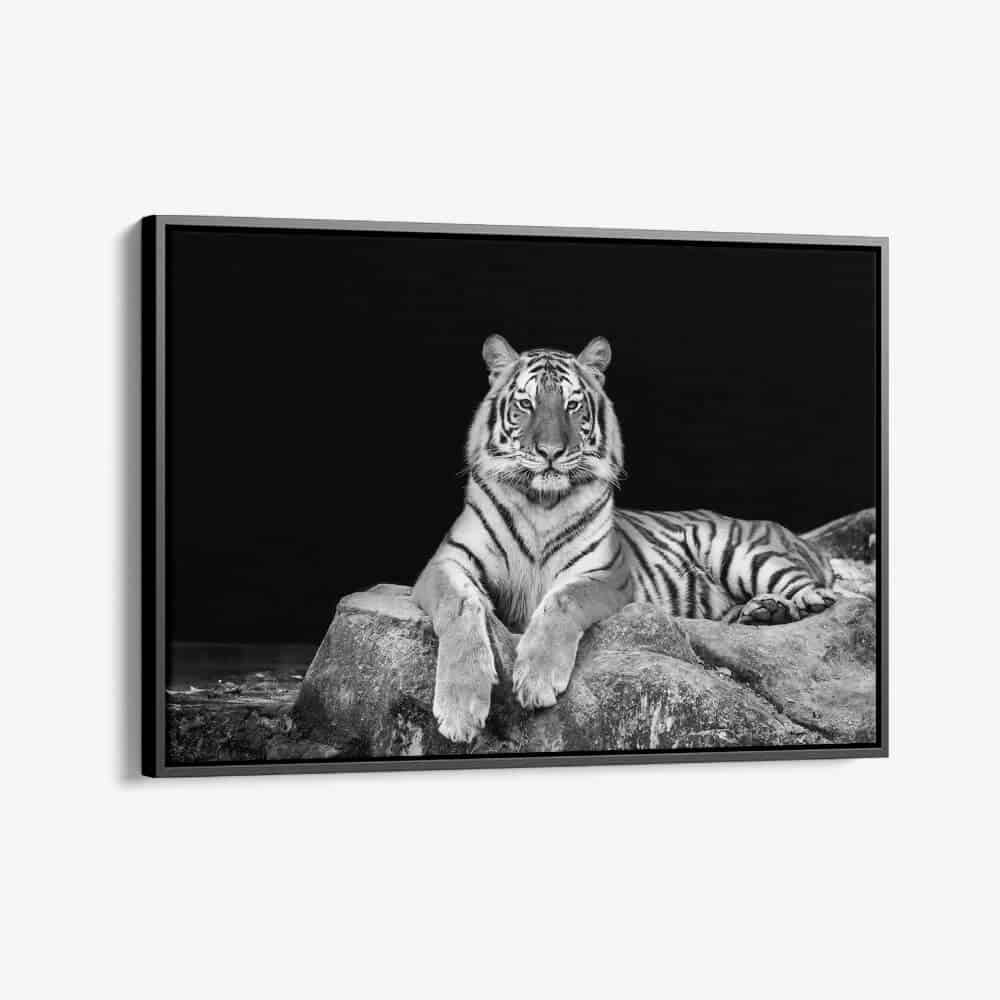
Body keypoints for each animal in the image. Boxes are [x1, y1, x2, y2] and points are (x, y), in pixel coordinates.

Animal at [414, 335, 837, 743]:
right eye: (525, 404)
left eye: (572, 405)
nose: (550, 452)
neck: (541, 502)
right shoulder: (446, 563)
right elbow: (459, 607)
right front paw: (459, 710)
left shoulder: (606, 574)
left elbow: (562, 600)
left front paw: (536, 679)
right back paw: (762, 611)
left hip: (737, 551)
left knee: (813, 589)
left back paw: (795, 603)